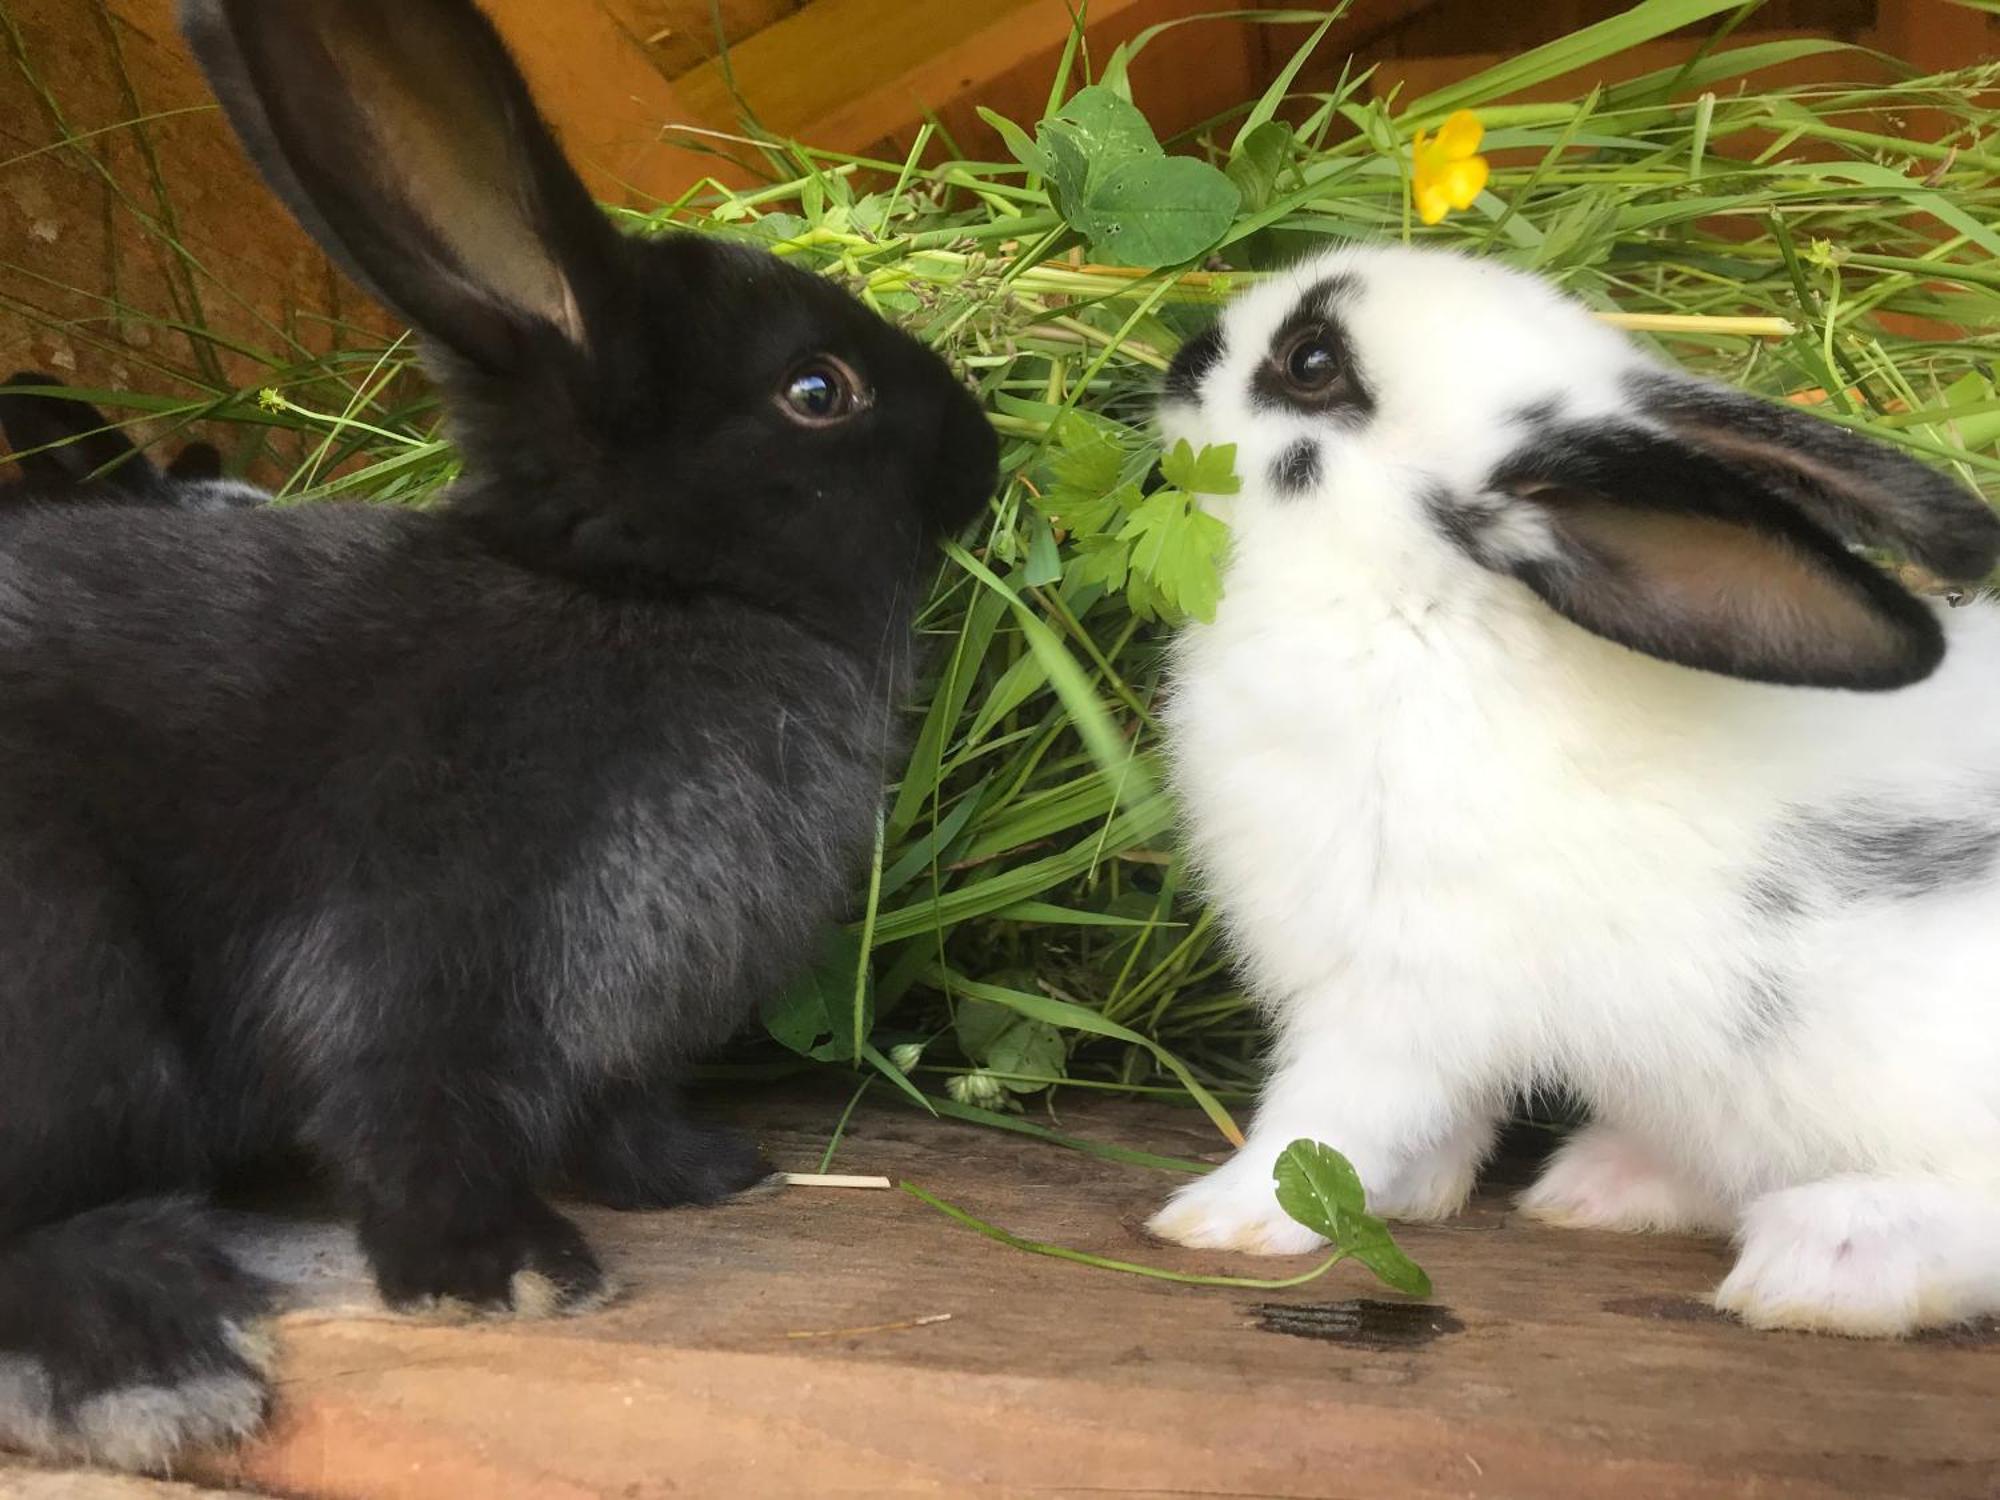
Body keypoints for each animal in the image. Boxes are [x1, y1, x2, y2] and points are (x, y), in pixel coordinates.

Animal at [0, 0, 996, 1472]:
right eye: (820, 391)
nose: (985, 455)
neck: (640, 593)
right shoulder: (422, 951)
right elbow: (415, 1117)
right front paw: (513, 1276)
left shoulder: (610, 1029)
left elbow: (612, 1111)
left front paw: (709, 1176)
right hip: (69, 972)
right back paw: (143, 1358)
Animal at [1152, 244, 2000, 1336]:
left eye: (1311, 362)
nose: (1184, 357)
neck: (1415, 610)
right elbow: (1435, 1125)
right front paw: (1410, 1196)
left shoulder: (1397, 993)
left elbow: (1326, 1120)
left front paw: (1219, 1219)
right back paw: (1609, 1182)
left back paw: (1822, 1262)